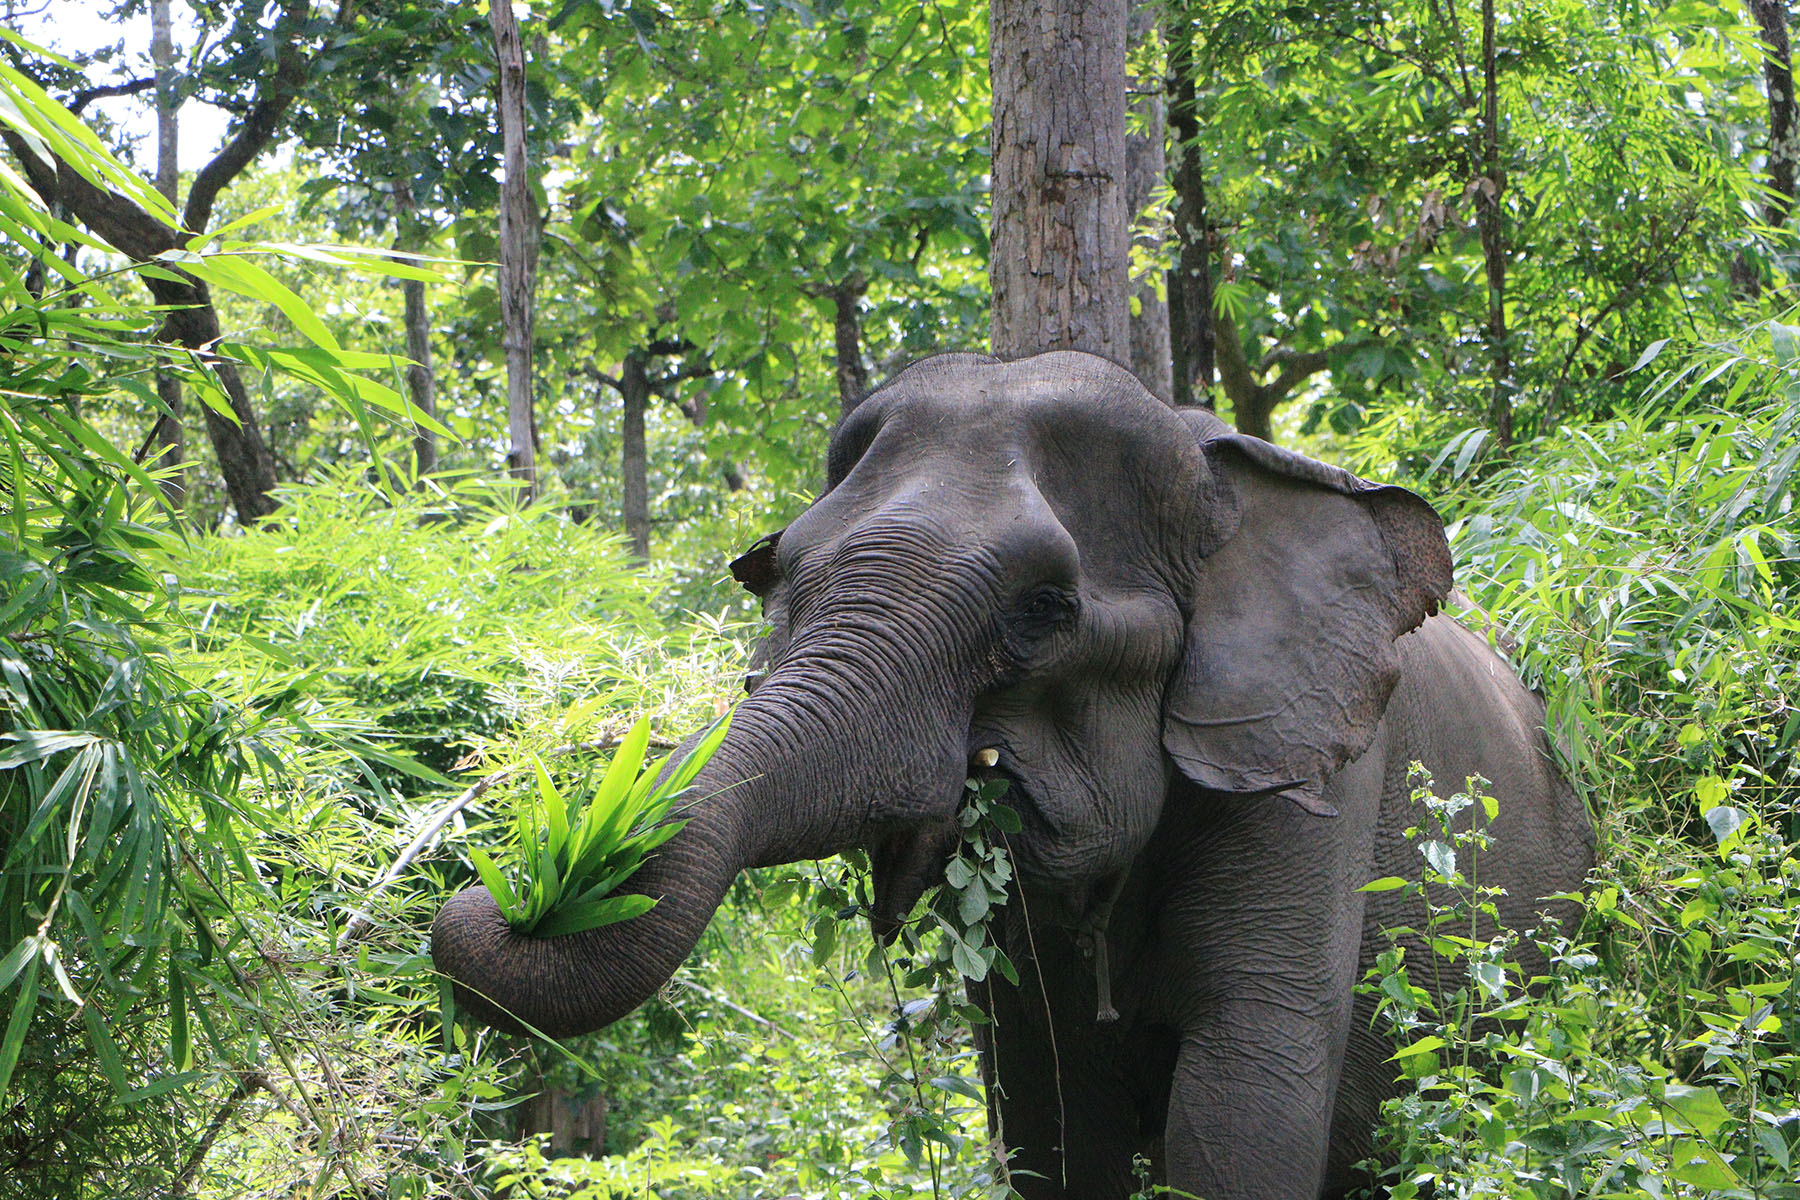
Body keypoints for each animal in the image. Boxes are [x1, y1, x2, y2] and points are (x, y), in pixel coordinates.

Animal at [431, 350, 1596, 1200]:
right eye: (780, 576)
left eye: (1040, 612)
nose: (516, 892)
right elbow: (1048, 1110)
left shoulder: (1307, 780)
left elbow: (1246, 1097)